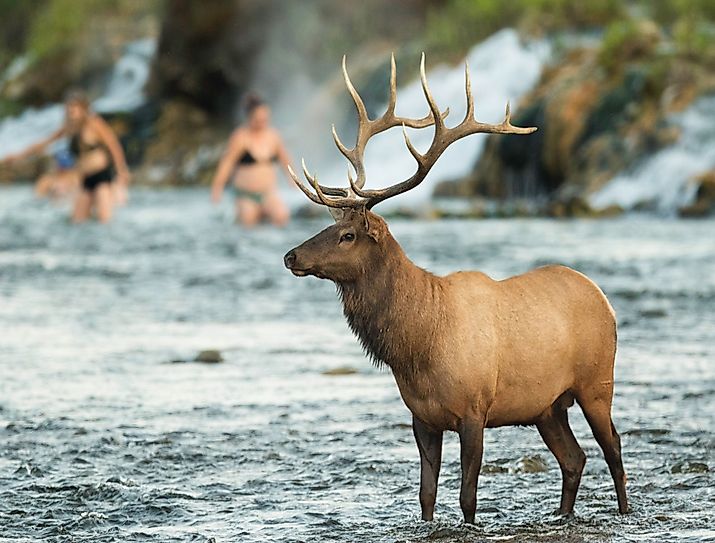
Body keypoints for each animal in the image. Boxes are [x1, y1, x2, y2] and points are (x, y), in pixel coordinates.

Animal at [282, 54, 628, 524]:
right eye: (330, 226)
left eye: (348, 235)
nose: (291, 256)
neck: (418, 345)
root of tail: (605, 300)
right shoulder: (422, 418)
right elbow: (426, 496)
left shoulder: (474, 409)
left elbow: (467, 497)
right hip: (547, 406)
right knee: (574, 459)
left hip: (596, 383)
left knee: (614, 449)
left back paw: (626, 512)